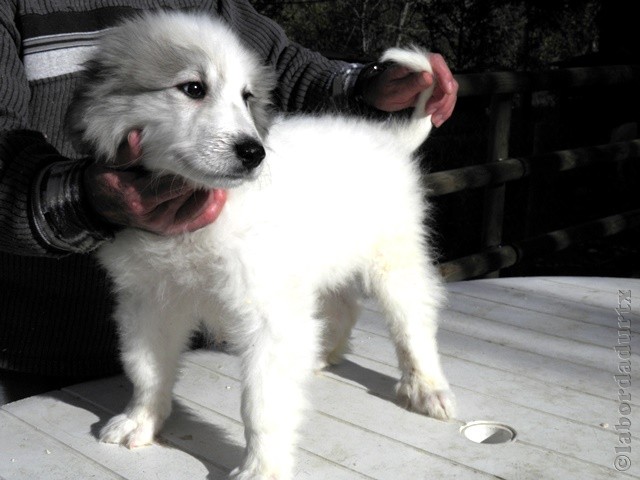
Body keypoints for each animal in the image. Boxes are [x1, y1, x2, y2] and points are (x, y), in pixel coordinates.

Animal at [67, 11, 452, 480]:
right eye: (193, 88)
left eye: (246, 96)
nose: (253, 153)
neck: (196, 207)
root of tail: (389, 141)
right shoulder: (149, 299)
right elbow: (146, 369)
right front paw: (140, 420)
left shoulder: (268, 312)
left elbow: (262, 403)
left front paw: (263, 467)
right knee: (344, 306)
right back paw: (323, 353)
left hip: (392, 258)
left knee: (413, 320)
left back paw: (425, 387)